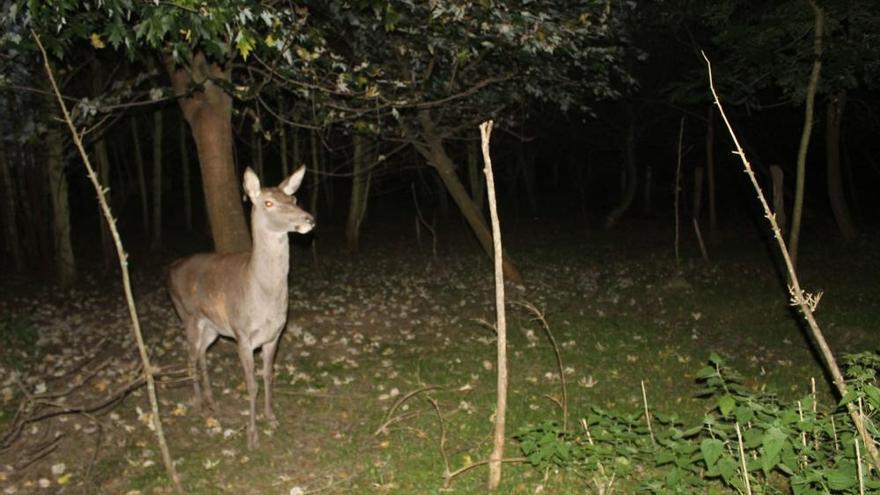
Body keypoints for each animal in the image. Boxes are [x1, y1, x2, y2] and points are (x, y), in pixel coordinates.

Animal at [167, 166, 314, 450]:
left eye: (293, 198)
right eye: (268, 203)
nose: (309, 219)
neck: (262, 296)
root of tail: (171, 268)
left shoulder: (274, 334)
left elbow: (268, 375)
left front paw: (272, 418)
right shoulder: (242, 335)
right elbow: (251, 384)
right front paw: (252, 436)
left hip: (212, 327)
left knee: (201, 353)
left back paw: (212, 402)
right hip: (187, 315)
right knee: (189, 355)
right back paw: (199, 403)